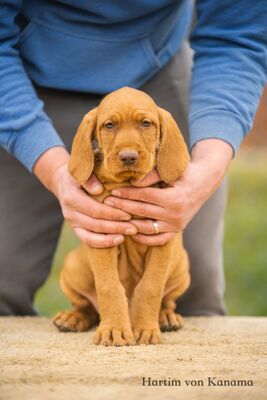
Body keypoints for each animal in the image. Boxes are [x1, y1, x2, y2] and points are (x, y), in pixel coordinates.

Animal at [52, 87, 191, 346]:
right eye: (109, 125)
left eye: (146, 123)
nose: (128, 157)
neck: (128, 183)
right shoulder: (103, 233)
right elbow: (109, 286)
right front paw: (113, 330)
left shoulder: (164, 239)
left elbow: (150, 287)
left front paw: (145, 329)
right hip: (73, 264)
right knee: (85, 306)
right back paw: (72, 318)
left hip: (181, 266)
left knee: (167, 300)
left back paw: (166, 317)